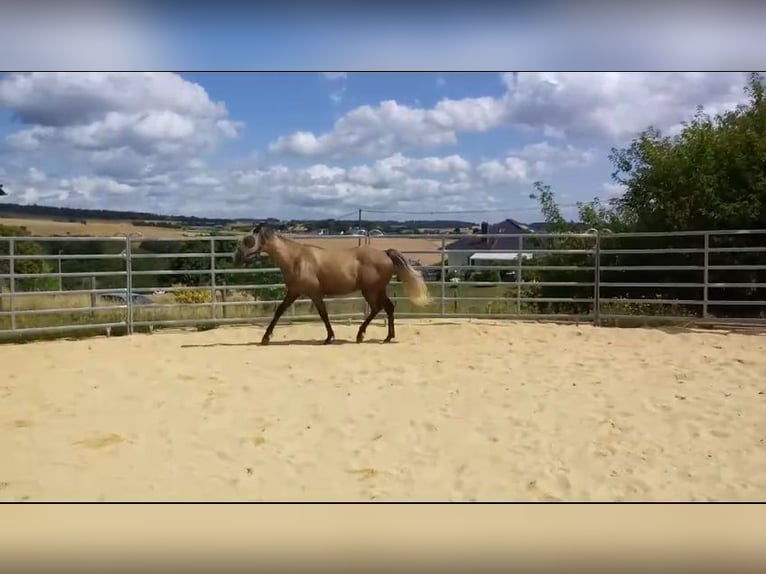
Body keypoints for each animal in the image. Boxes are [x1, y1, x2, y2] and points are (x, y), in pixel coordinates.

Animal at [234, 226, 432, 346]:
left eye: (248, 240)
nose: (237, 258)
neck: (296, 259)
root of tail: (385, 253)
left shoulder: (314, 293)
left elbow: (323, 314)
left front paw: (330, 337)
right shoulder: (294, 292)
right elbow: (279, 311)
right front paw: (265, 337)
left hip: (371, 290)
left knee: (379, 308)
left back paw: (362, 335)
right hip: (376, 290)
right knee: (387, 307)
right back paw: (386, 337)